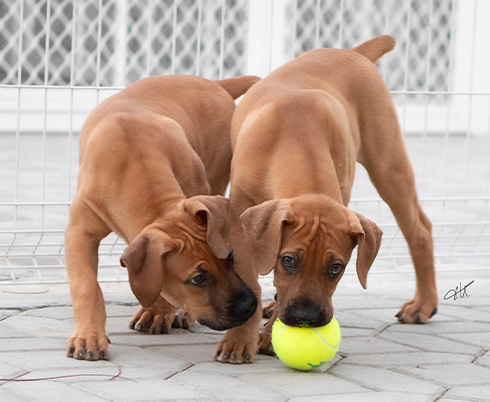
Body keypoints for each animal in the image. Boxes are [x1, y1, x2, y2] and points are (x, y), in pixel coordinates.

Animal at [65, 74, 260, 362]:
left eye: (231, 258)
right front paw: (88, 337)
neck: (134, 161)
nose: (249, 306)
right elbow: (87, 286)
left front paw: (162, 309)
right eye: (197, 279)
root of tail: (215, 83)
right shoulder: (80, 231)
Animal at [216, 37, 438, 364]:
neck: (297, 137)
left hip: (389, 165)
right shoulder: (240, 224)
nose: (305, 318)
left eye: (337, 267)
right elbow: (251, 282)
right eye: (288, 261)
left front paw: (268, 336)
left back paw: (424, 303)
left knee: (419, 229)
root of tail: (354, 53)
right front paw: (239, 340)